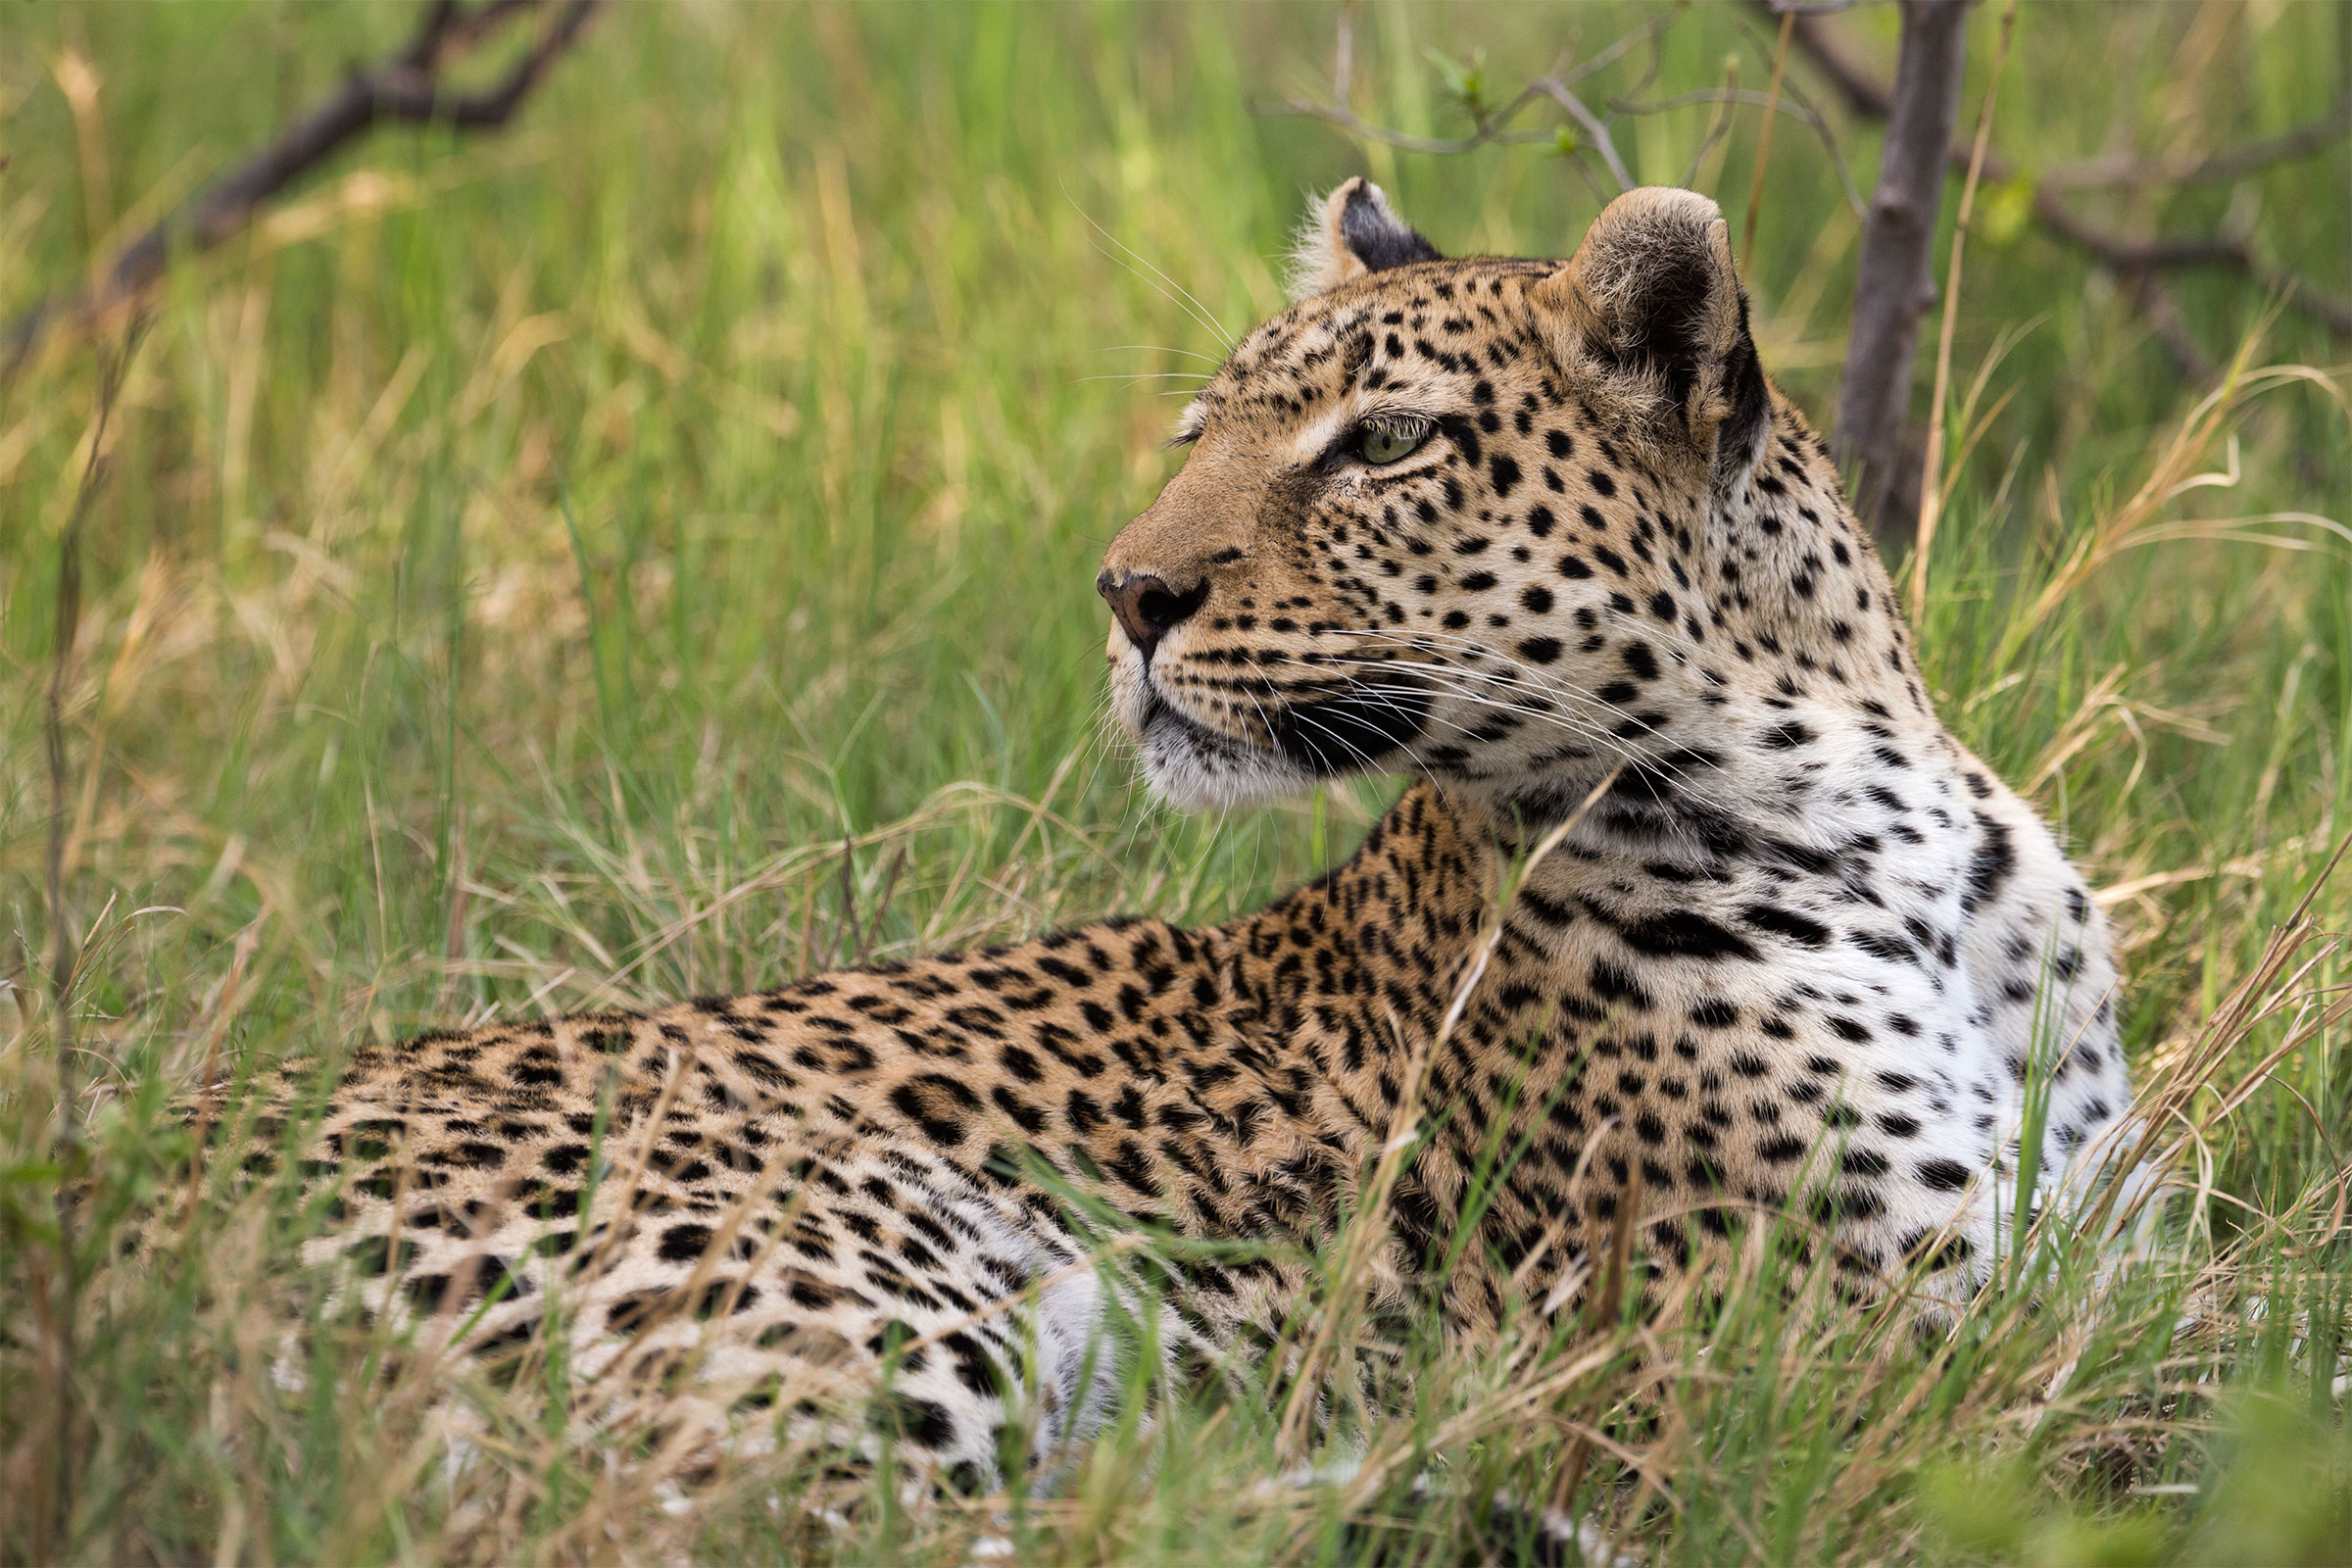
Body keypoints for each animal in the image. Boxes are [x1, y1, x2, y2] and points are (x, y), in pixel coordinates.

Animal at [164, 181, 2130, 1497]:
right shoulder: (1894, 1355)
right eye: (1204, 431)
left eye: (1384, 443)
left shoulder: (2099, 1276)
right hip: (848, 1260)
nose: (1128, 594)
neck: (1891, 833)